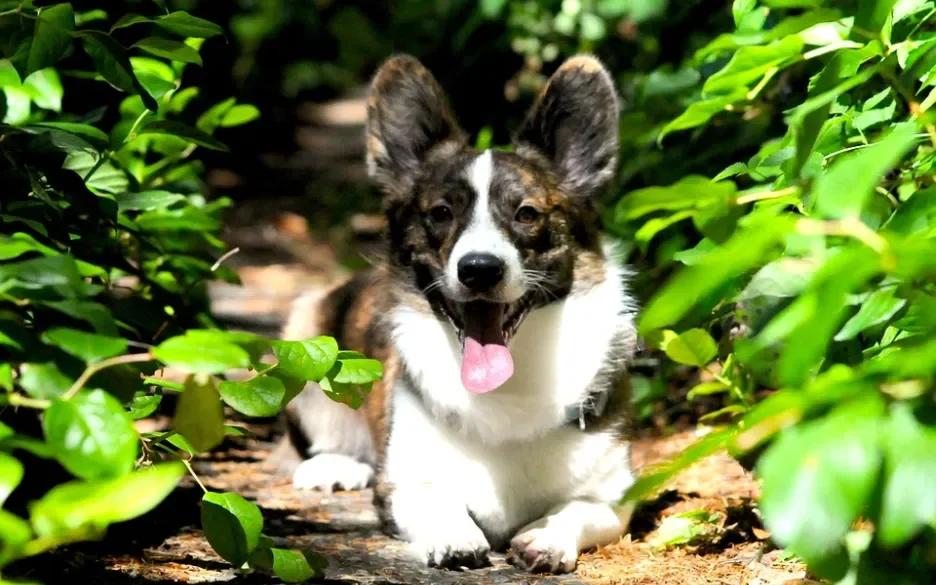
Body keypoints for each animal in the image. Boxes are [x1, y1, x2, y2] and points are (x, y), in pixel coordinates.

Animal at [278, 52, 640, 572]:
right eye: (441, 213)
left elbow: (578, 510)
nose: (479, 270)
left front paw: (547, 536)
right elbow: (437, 499)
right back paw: (335, 464)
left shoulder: (615, 498)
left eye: (526, 213)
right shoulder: (404, 484)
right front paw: (455, 535)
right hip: (306, 331)